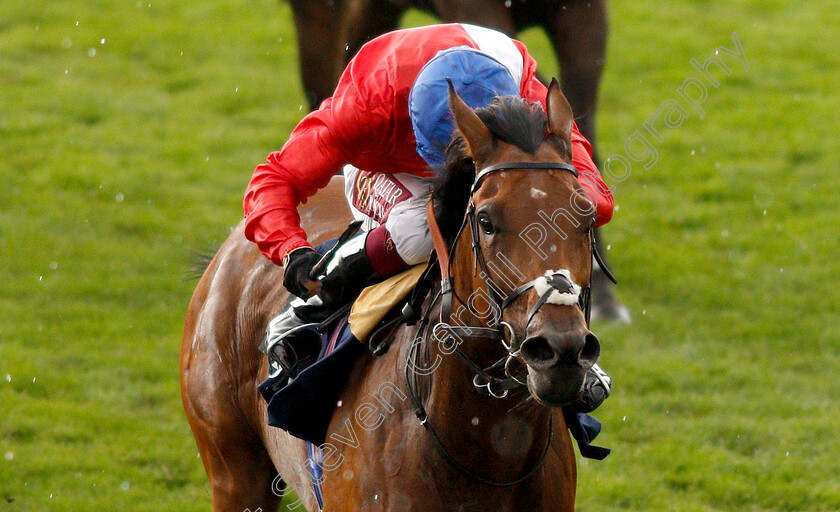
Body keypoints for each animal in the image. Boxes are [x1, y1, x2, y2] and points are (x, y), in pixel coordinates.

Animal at [182, 79, 604, 508]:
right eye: (486, 221)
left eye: (586, 217)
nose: (561, 348)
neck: (485, 455)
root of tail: (230, 244)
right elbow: (279, 172)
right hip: (235, 474)